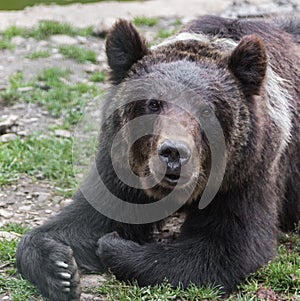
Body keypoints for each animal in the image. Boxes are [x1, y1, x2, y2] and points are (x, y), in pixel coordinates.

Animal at [17, 14, 300, 300]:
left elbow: (224, 248)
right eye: (153, 103)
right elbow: (87, 218)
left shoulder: (246, 174)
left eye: (207, 110)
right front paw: (61, 269)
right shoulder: (120, 167)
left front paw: (113, 245)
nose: (174, 152)